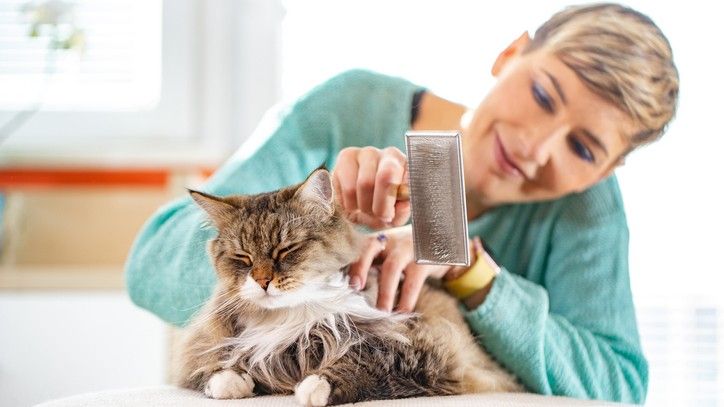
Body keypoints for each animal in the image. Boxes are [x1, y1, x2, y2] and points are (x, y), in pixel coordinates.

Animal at [178, 167, 524, 406]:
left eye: (286, 250)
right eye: (243, 257)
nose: (263, 281)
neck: (291, 317)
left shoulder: (426, 345)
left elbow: (366, 359)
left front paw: (315, 385)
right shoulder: (206, 346)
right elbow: (214, 366)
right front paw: (230, 381)